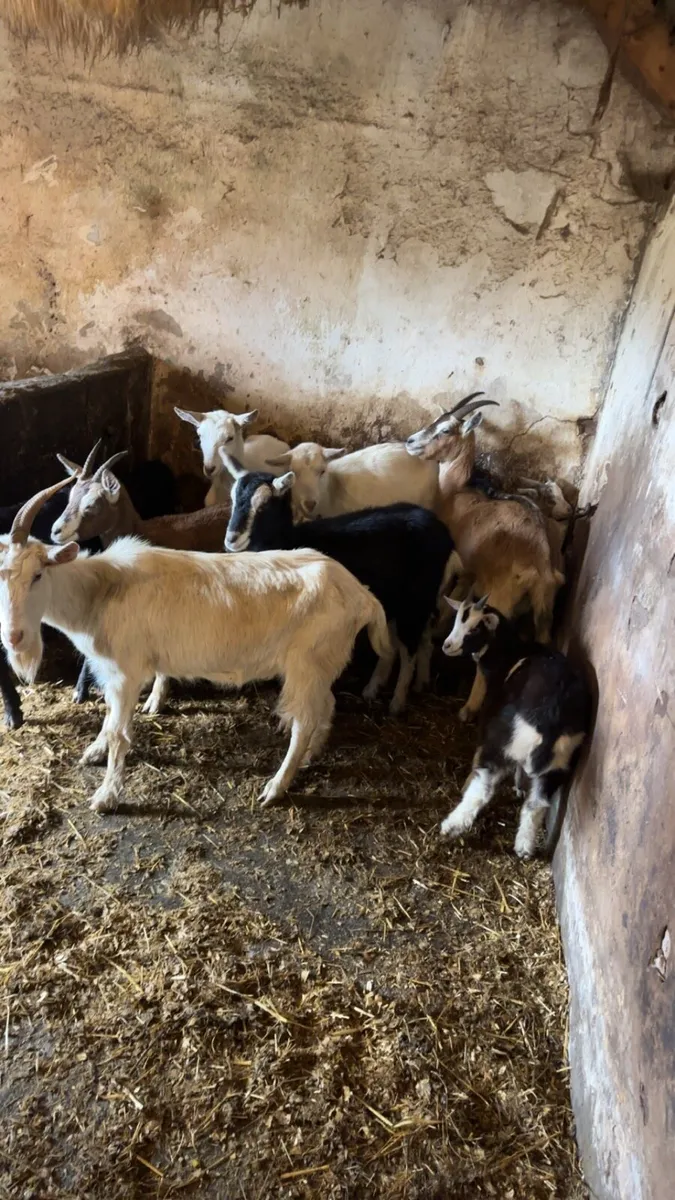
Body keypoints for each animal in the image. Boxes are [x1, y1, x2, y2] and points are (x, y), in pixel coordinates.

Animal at [0, 480, 391, 813]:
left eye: (38, 575)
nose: (14, 637)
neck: (101, 590)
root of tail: (362, 594)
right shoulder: (111, 672)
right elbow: (109, 717)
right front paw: (94, 752)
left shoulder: (127, 672)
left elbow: (119, 733)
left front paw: (106, 795)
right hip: (323, 664)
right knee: (327, 704)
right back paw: (310, 756)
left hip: (306, 664)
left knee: (304, 721)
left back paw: (276, 786)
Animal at [225, 466, 457, 713]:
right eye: (233, 500)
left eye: (263, 505)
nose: (232, 539)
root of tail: (444, 535)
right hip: (409, 600)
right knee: (414, 643)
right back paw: (397, 686)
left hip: (415, 600)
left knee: (408, 649)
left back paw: (397, 701)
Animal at [406, 402, 564, 721]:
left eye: (445, 430)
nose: (411, 442)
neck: (457, 492)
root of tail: (541, 563)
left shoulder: (461, 564)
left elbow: (450, 595)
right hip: (545, 605)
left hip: (500, 598)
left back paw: (468, 708)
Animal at [439, 596, 592, 858]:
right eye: (457, 618)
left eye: (474, 628)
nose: (447, 646)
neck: (510, 653)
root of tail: (551, 720)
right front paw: (520, 787)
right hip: (559, 762)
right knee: (537, 804)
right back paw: (524, 847)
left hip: (501, 740)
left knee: (483, 785)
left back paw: (453, 824)